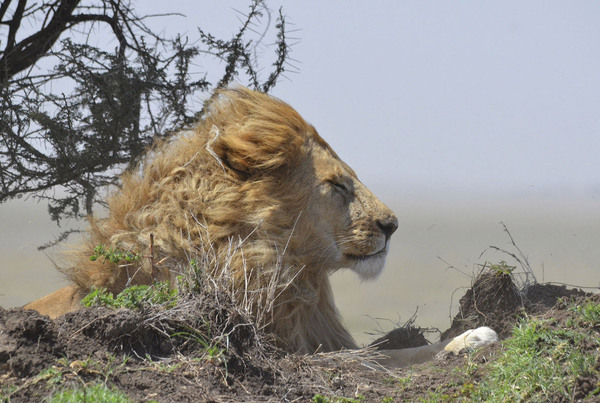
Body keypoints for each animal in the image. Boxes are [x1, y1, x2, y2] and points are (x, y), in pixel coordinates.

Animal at [24, 87, 496, 368]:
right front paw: (473, 337)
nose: (392, 225)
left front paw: (474, 334)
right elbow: (385, 358)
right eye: (335, 185)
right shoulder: (286, 352)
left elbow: (401, 350)